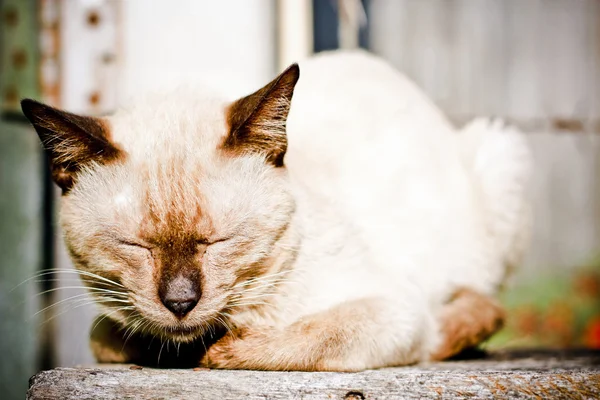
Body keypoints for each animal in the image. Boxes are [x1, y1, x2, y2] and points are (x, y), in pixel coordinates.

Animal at [21, 50, 532, 372]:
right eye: (136, 246)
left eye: (218, 242)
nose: (181, 303)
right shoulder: (112, 322)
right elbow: (109, 336)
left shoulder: (394, 312)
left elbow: (307, 335)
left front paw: (218, 353)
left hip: (501, 152)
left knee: (485, 308)